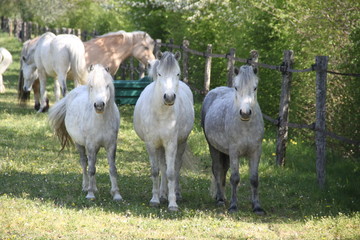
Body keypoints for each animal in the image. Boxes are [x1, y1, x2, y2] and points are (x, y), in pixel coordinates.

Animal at [47, 63, 122, 201]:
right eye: (91, 86)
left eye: (107, 86)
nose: (99, 105)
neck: (101, 120)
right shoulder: (91, 145)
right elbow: (91, 169)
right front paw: (90, 194)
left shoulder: (111, 146)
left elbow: (112, 169)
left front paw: (116, 194)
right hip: (80, 144)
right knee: (84, 163)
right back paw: (86, 187)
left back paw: (94, 187)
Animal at [134, 51, 194, 212]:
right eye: (160, 74)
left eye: (177, 73)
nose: (169, 97)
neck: (161, 113)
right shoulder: (151, 144)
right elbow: (156, 171)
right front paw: (155, 199)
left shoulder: (171, 144)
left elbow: (171, 173)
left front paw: (173, 204)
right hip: (160, 147)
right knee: (162, 166)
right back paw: (162, 195)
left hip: (181, 143)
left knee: (176, 167)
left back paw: (176, 194)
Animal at [201, 64, 266, 215]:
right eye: (236, 87)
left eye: (255, 88)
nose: (245, 113)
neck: (246, 126)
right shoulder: (234, 151)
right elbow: (235, 178)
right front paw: (233, 206)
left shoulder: (256, 151)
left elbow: (254, 179)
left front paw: (257, 207)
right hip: (213, 147)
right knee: (217, 169)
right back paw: (220, 199)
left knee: (223, 170)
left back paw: (222, 196)